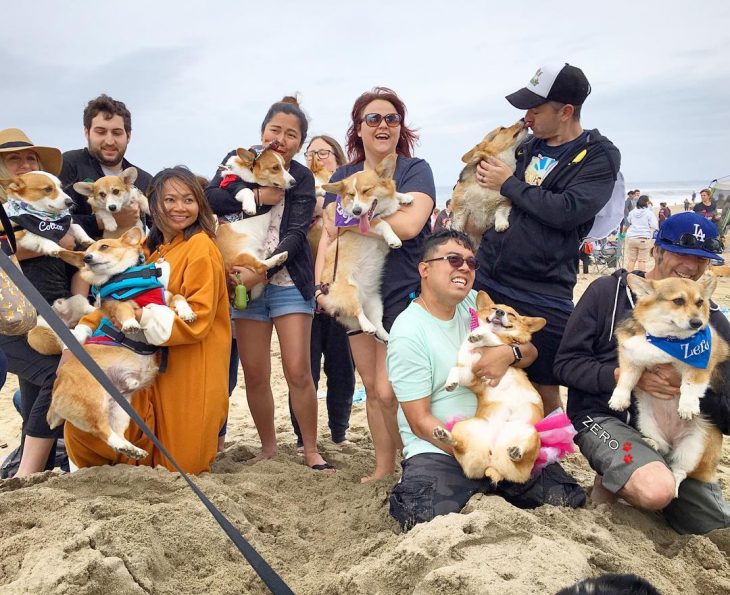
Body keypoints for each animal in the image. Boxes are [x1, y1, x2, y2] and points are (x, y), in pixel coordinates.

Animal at [318, 154, 412, 342]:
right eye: (350, 194)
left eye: (367, 191)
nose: (356, 211)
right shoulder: (367, 223)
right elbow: (383, 223)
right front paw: (393, 239)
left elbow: (395, 194)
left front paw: (404, 197)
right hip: (350, 292)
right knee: (359, 312)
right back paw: (367, 326)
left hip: (376, 302)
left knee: (378, 323)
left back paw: (386, 336)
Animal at [430, 292, 544, 484]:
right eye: (493, 308)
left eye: (512, 314)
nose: (499, 312)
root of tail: (493, 462)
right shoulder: (472, 375)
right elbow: (455, 369)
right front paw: (451, 382)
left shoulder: (501, 346)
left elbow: (492, 336)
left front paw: (479, 333)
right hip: (464, 428)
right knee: (459, 445)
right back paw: (445, 435)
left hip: (530, 433)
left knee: (522, 455)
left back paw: (517, 451)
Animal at [446, 121, 528, 249]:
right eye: (502, 128)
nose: (523, 119)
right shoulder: (460, 204)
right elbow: (459, 220)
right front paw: (456, 231)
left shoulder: (504, 201)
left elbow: (500, 211)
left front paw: (501, 224)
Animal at [604, 276, 724, 498]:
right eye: (678, 301)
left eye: (700, 302)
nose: (697, 323)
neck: (667, 339)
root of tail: (673, 441)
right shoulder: (631, 359)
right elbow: (625, 380)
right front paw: (619, 400)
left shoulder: (699, 367)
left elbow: (690, 385)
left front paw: (687, 407)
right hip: (646, 421)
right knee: (662, 447)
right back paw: (652, 442)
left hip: (694, 448)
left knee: (679, 472)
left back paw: (675, 484)